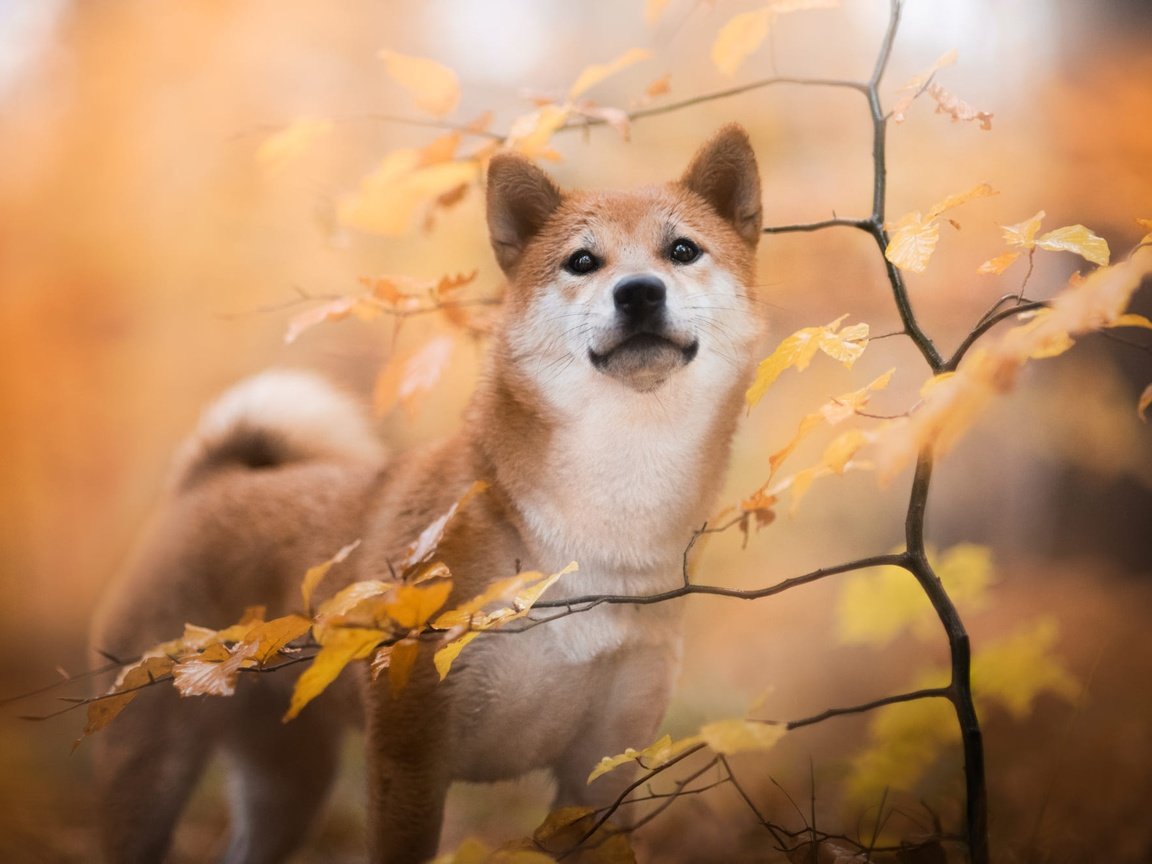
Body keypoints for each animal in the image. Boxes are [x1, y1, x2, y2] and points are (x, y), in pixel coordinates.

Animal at [92, 123, 764, 864]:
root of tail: (210, 481)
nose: (639, 291)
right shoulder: (410, 755)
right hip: (151, 763)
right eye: (583, 261)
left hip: (290, 782)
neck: (603, 519)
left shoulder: (602, 774)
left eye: (682, 250)